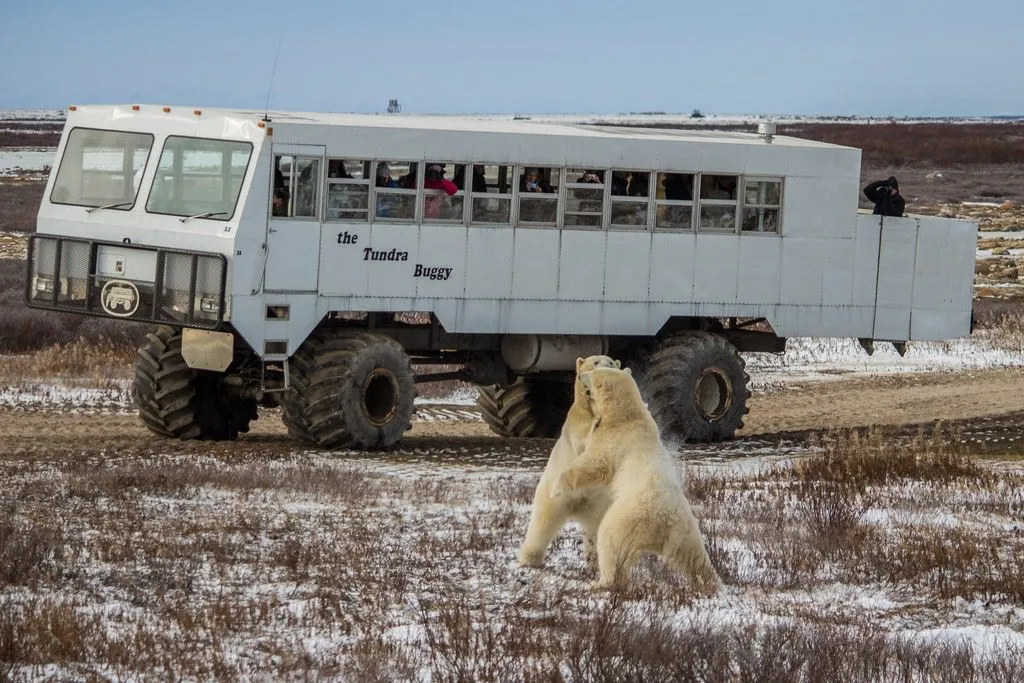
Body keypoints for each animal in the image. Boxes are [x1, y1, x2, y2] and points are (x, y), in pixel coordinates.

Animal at [517, 355, 620, 569]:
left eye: (611, 363)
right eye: (596, 362)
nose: (607, 369)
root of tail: (578, 508)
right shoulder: (577, 422)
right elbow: (584, 441)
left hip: (599, 504)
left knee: (596, 530)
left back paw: (595, 559)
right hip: (554, 494)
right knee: (542, 523)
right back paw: (529, 558)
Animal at [552, 366, 721, 593]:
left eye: (595, 373)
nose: (580, 375)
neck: (626, 415)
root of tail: (663, 520)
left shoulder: (614, 440)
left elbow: (595, 464)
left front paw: (556, 489)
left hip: (627, 518)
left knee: (610, 542)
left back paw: (600, 582)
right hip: (685, 530)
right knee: (693, 556)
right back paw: (712, 582)